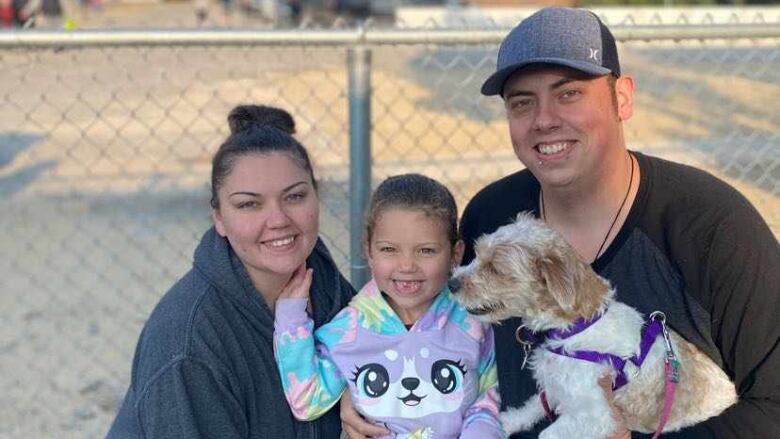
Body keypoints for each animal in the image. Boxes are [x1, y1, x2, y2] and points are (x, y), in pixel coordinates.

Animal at [450, 215, 736, 438]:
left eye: (495, 268)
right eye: (478, 254)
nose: (452, 283)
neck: (577, 328)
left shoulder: (596, 415)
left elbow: (547, 433)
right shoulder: (556, 384)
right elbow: (535, 405)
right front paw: (509, 421)